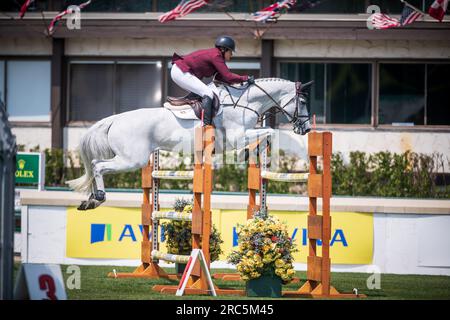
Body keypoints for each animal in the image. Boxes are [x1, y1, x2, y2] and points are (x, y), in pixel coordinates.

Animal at [67, 76, 312, 209]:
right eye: (302, 101)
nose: (307, 128)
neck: (244, 103)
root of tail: (116, 119)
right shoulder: (236, 137)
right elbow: (269, 131)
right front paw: (251, 152)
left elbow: (265, 132)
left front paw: (252, 154)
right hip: (132, 159)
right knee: (98, 166)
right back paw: (98, 197)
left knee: (95, 165)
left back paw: (90, 199)